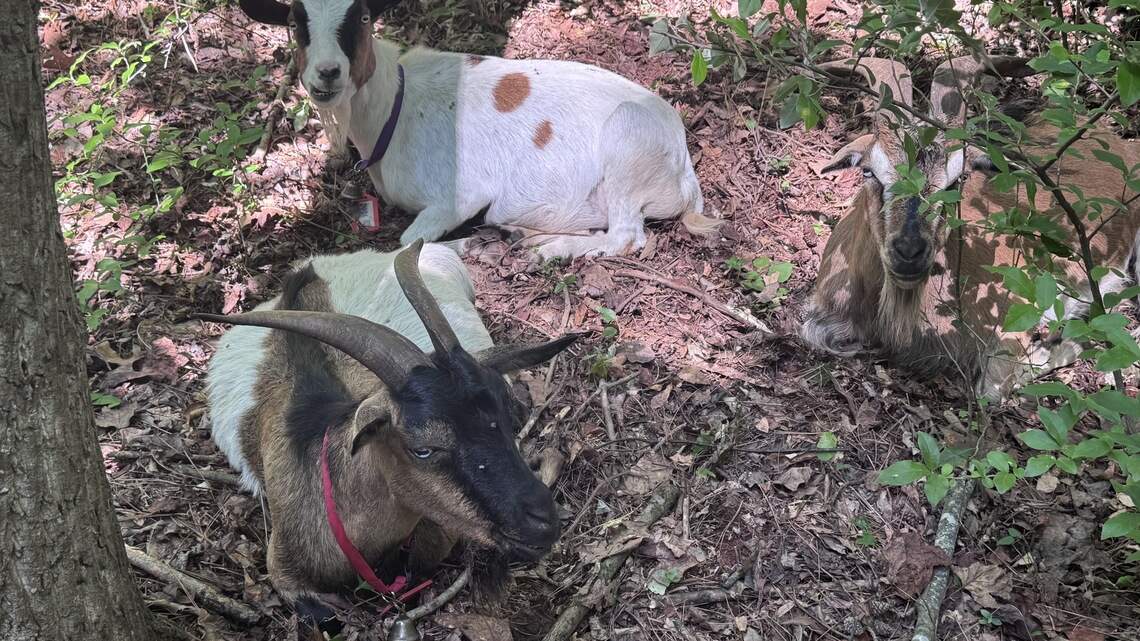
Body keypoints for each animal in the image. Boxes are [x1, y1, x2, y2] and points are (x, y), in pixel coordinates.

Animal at [237, 0, 719, 258]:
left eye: (361, 18)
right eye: (295, 23)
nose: (327, 73)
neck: (397, 105)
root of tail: (684, 167)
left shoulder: (461, 195)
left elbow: (407, 244)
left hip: (626, 147)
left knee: (626, 235)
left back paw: (550, 249)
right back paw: (525, 234)